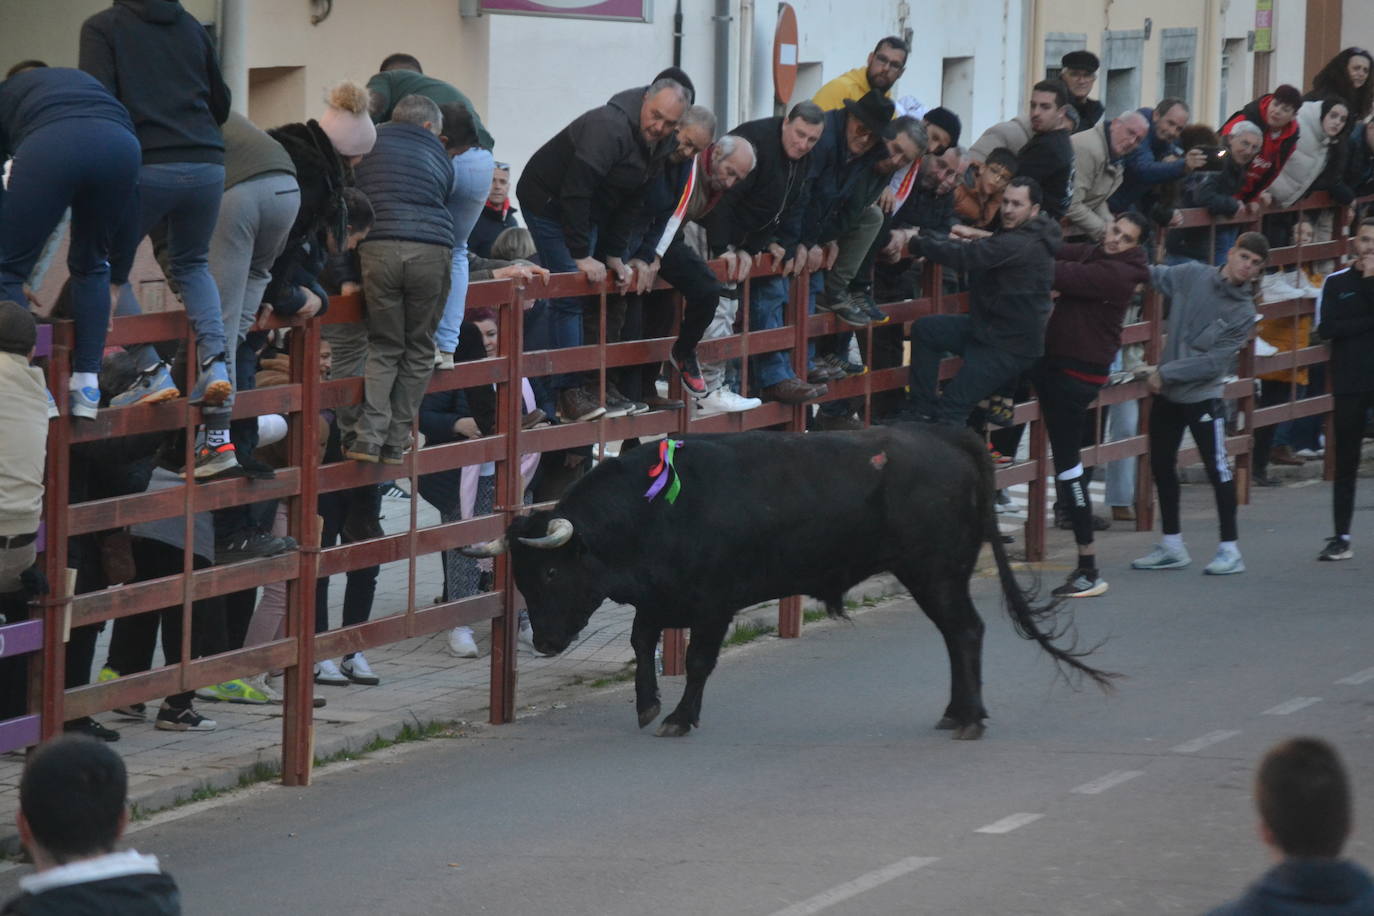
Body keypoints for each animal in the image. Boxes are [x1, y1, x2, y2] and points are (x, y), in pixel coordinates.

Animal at [464, 425, 1115, 741]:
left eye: (551, 571)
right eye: (521, 578)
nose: (545, 643)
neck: (658, 510)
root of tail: (946, 438)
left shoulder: (713, 602)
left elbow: (696, 661)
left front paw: (680, 717)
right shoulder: (662, 596)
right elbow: (641, 641)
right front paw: (648, 704)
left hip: (936, 571)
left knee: (967, 632)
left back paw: (971, 718)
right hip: (930, 574)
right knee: (957, 636)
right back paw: (956, 713)